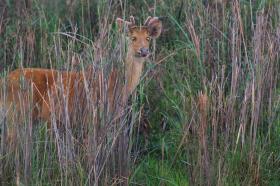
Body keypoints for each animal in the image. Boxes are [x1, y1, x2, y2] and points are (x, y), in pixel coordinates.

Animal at [0, 16, 162, 146]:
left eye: (148, 38)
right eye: (133, 38)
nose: (144, 51)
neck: (119, 86)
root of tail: (4, 81)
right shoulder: (92, 117)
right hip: (17, 112)